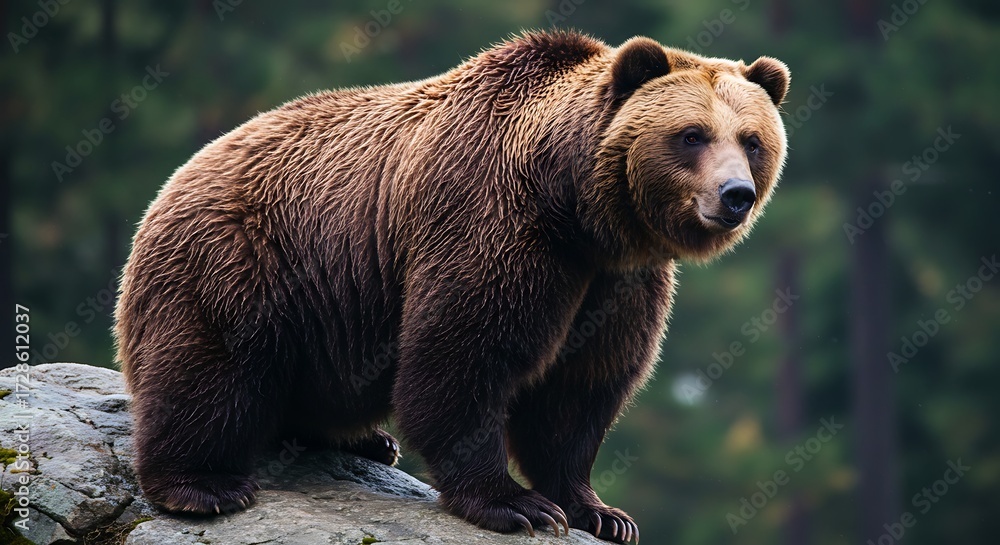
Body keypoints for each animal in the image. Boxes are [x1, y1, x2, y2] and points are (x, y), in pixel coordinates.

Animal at [114, 30, 788, 544]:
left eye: (752, 141)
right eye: (692, 134)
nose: (734, 195)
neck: (578, 208)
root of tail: (173, 181)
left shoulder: (617, 280)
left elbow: (581, 386)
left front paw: (600, 511)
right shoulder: (493, 222)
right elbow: (464, 355)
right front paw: (515, 504)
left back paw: (369, 441)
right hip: (245, 263)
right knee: (210, 367)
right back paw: (201, 485)